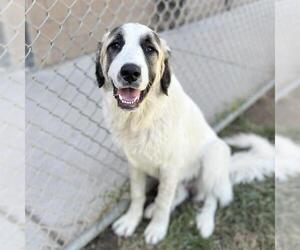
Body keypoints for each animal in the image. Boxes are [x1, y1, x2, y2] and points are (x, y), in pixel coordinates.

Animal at [95, 23, 276, 244]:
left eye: (149, 49)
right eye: (116, 45)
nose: (130, 71)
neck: (142, 117)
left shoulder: (170, 168)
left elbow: (163, 201)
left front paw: (157, 228)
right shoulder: (135, 164)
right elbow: (137, 194)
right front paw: (131, 220)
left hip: (214, 156)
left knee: (211, 198)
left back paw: (205, 222)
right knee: (181, 194)